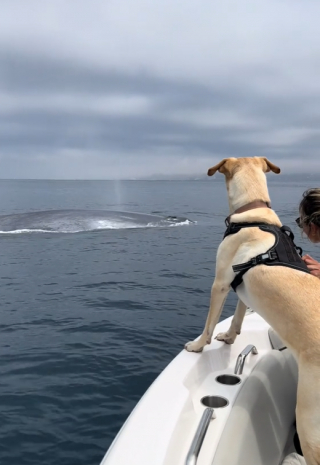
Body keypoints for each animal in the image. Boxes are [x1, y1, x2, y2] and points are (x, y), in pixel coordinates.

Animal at [185, 157, 320, 464]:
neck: (253, 214)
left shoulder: (221, 282)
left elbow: (209, 323)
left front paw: (198, 345)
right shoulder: (241, 285)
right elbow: (238, 315)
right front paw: (229, 337)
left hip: (308, 420)